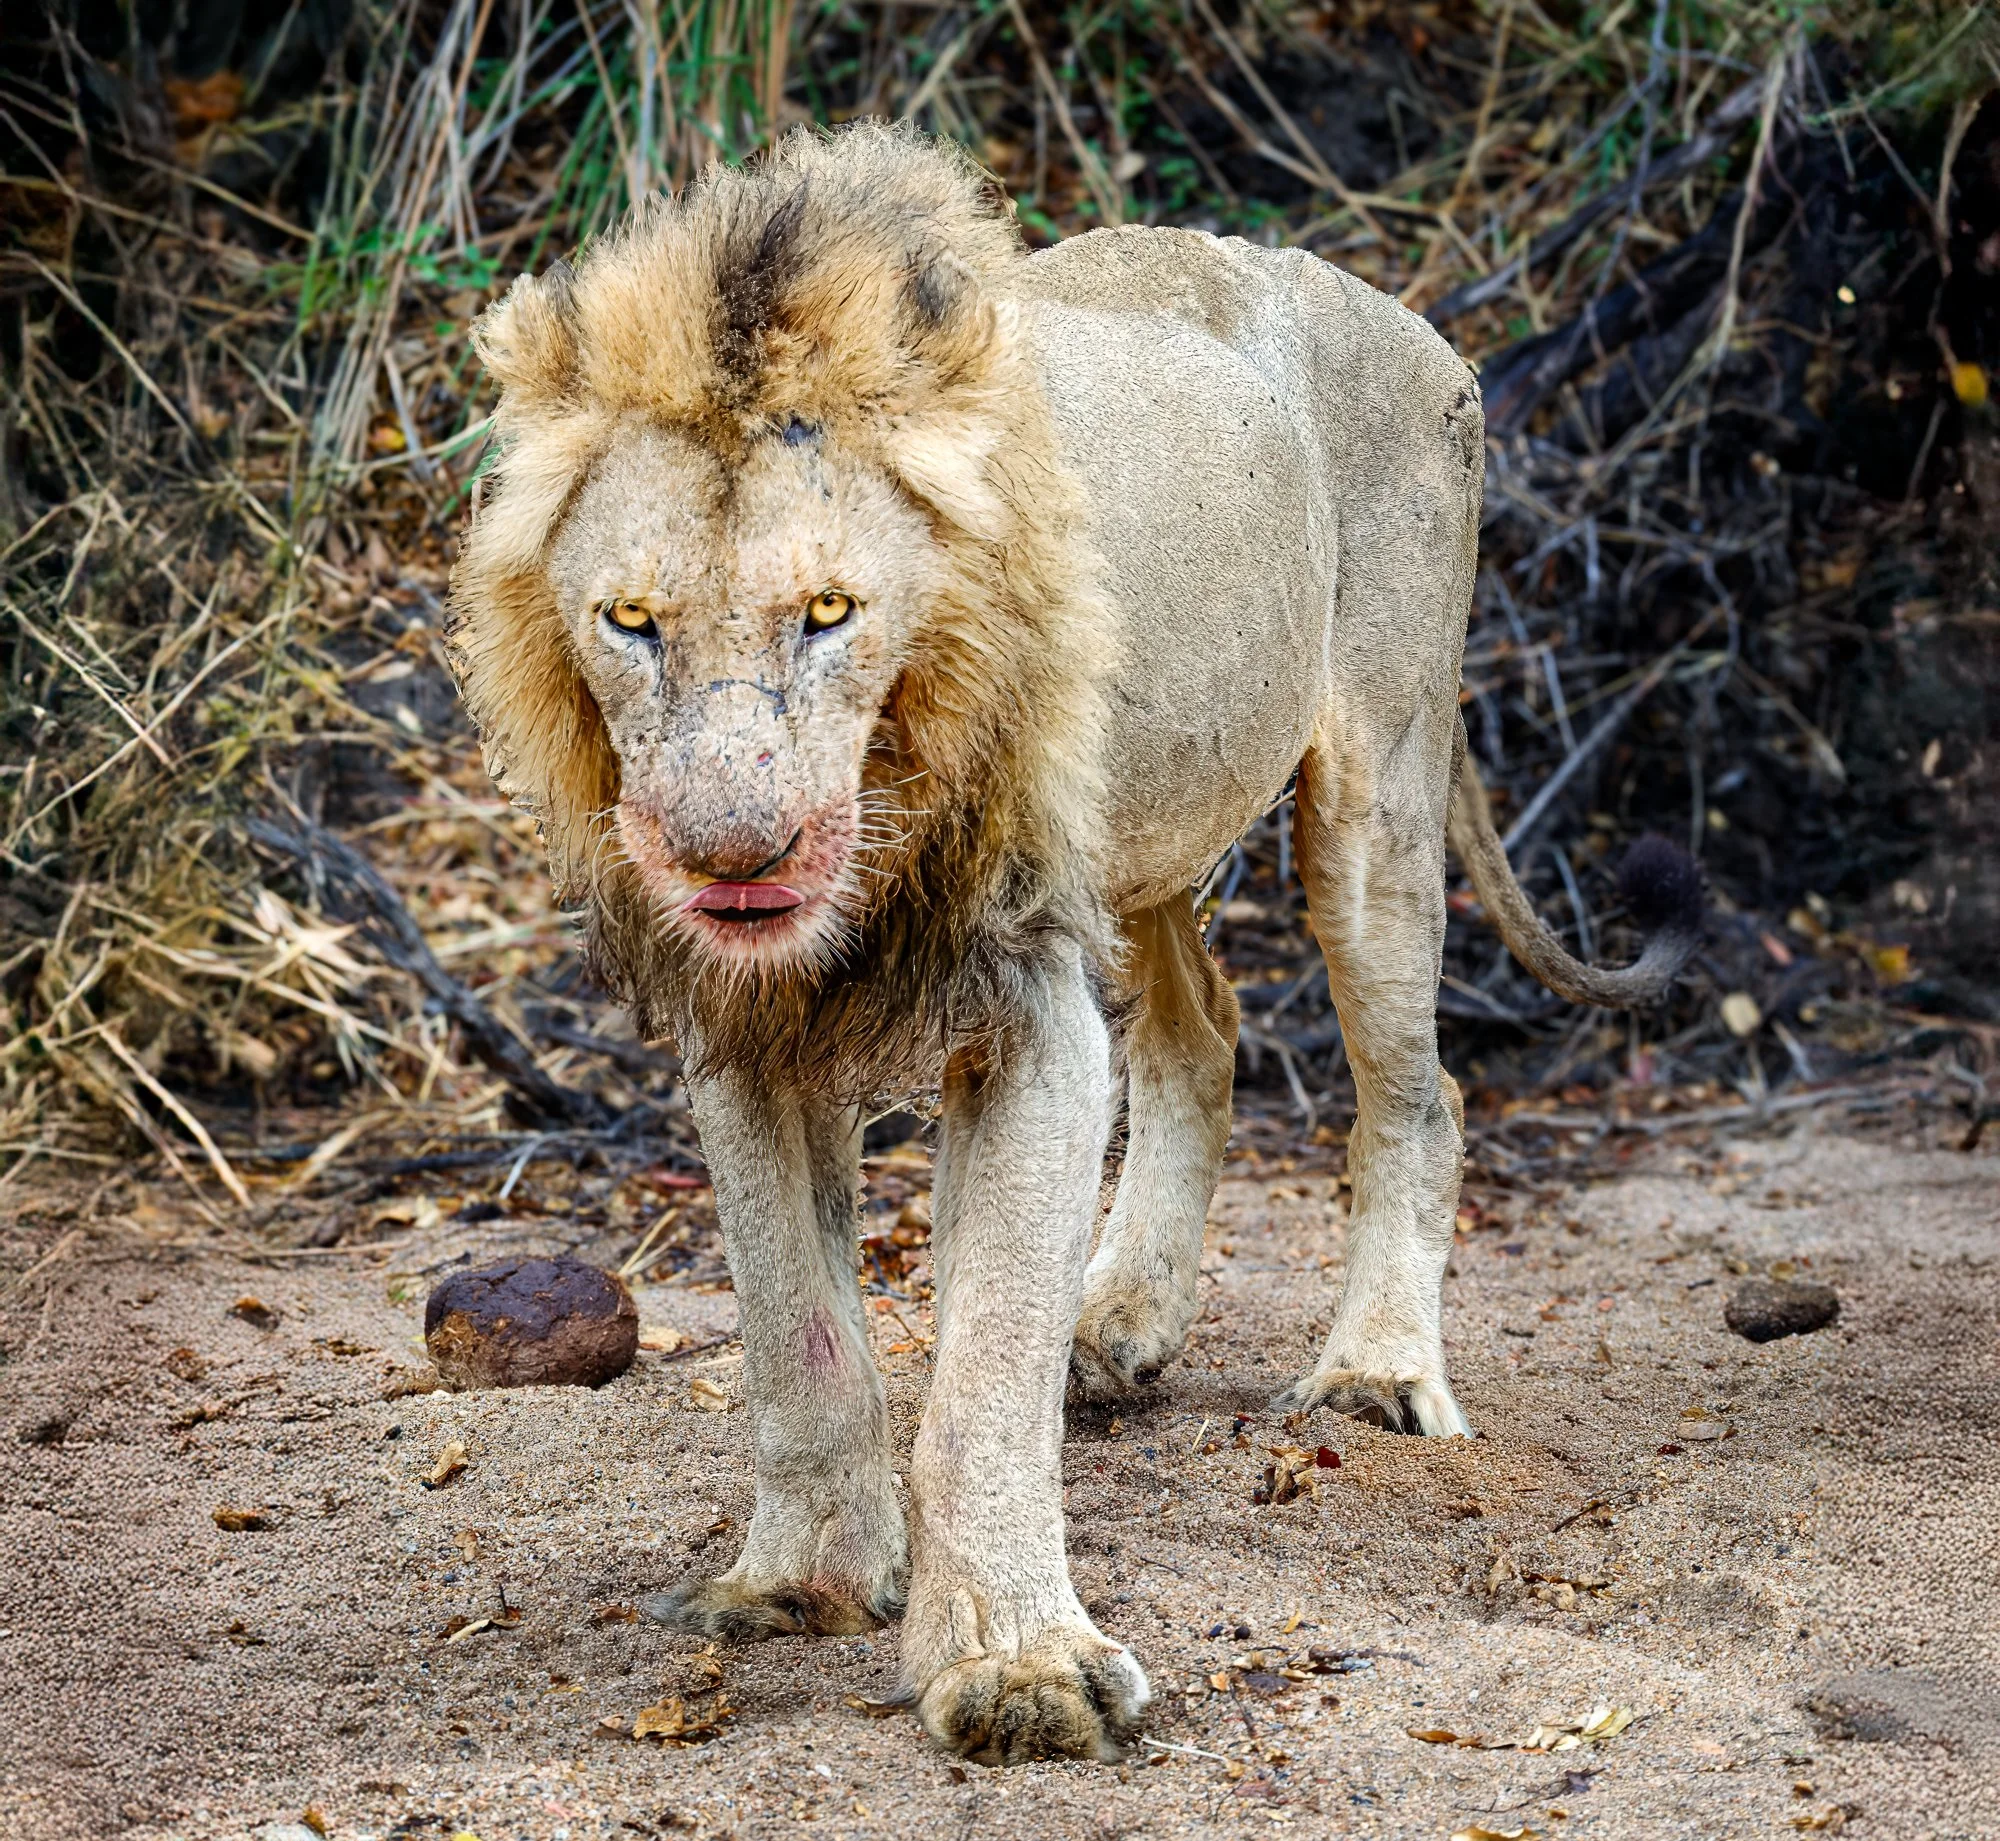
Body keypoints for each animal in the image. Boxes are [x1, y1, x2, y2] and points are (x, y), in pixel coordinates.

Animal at [447, 123, 1702, 1766]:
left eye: (829, 610)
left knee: (1418, 1091)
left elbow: (981, 1370)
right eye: (632, 618)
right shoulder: (744, 1031)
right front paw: (801, 1580)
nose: (733, 858)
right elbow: (797, 1333)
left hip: (1372, 782)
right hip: (1149, 816)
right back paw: (1118, 1327)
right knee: (1202, 1031)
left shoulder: (1028, 1009)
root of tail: (1397, 308)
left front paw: (1016, 1665)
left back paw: (1373, 1374)